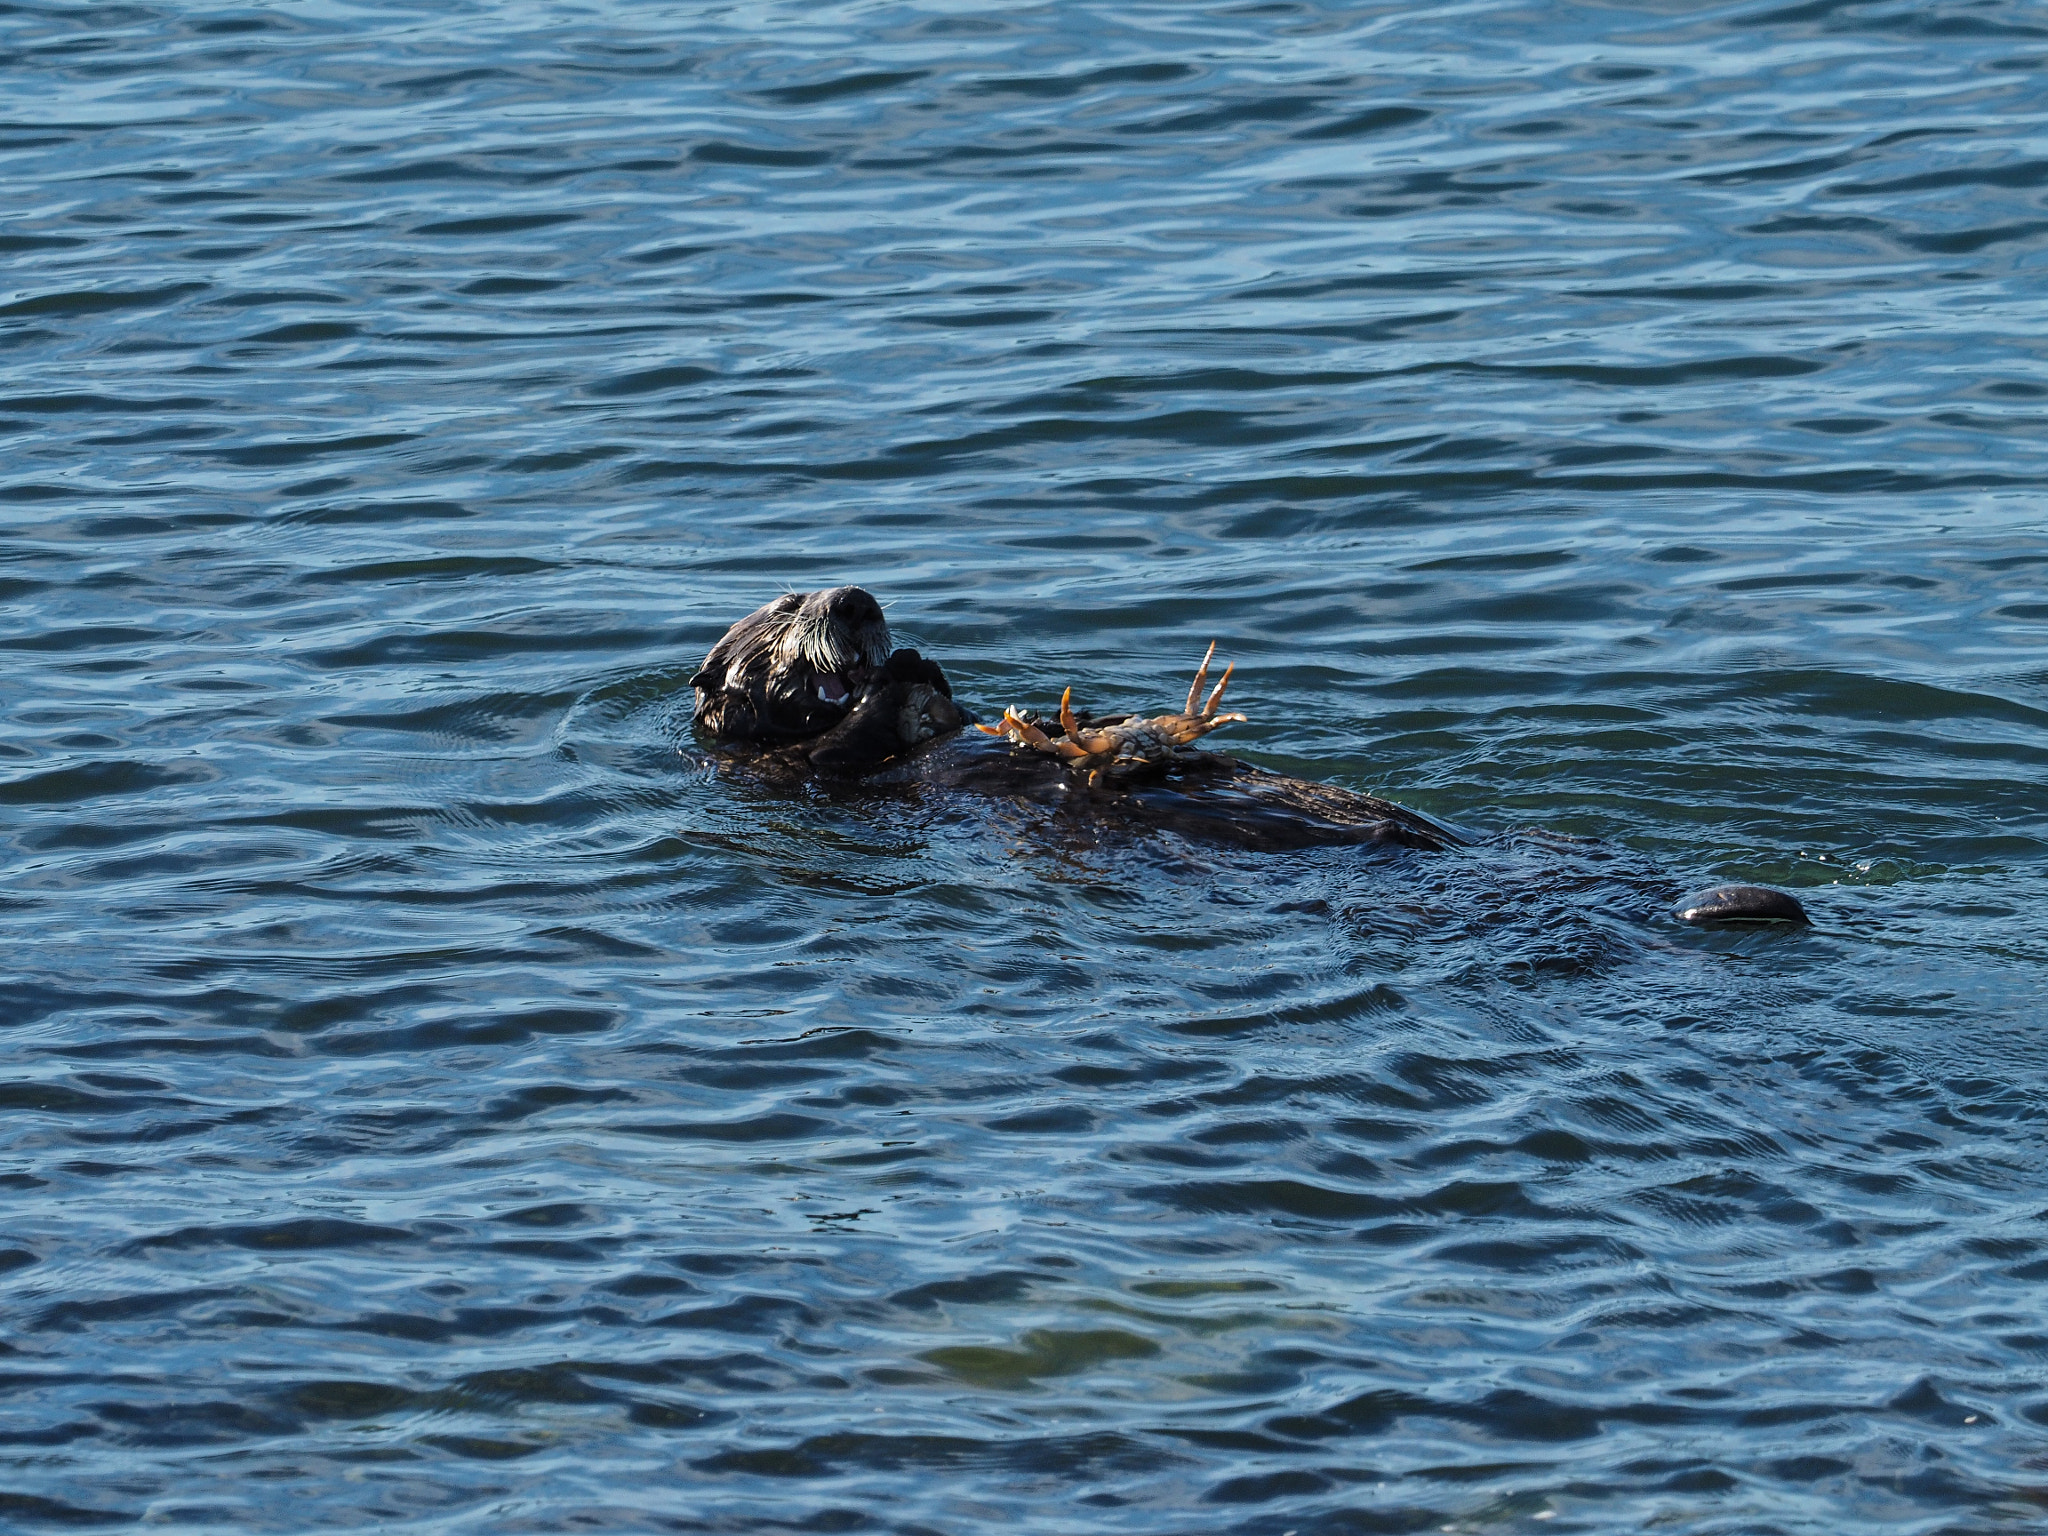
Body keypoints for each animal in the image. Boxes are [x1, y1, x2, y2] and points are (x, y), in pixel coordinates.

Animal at [688, 585, 1810, 925]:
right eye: (785, 604)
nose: (855, 601)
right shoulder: (792, 777)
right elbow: (839, 746)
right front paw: (900, 680)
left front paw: (937, 670)